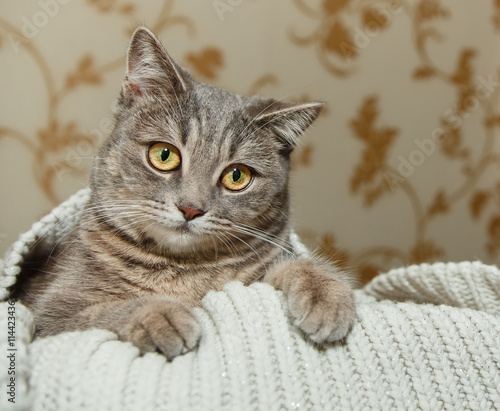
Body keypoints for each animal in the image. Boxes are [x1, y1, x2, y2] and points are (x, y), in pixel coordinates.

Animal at [17, 25, 356, 360]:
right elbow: (99, 313)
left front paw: (327, 295)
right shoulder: (49, 312)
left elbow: (297, 265)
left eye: (237, 176)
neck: (182, 272)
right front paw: (159, 314)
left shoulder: (250, 282)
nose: (191, 208)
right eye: (164, 155)